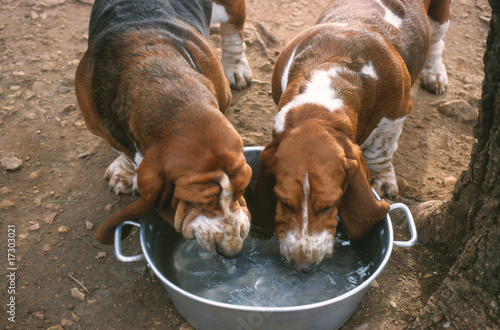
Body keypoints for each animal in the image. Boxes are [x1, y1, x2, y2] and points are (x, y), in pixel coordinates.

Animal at [75, 0, 254, 258]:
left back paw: (236, 68)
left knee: (234, 32)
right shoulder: (98, 125)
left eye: (242, 189)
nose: (233, 252)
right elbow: (125, 153)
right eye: (202, 202)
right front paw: (125, 174)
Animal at [252, 0, 452, 270]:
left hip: (440, 16)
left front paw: (382, 179)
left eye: (330, 205)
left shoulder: (397, 113)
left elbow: (381, 149)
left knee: (437, 42)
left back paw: (435, 74)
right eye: (284, 202)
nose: (303, 266)